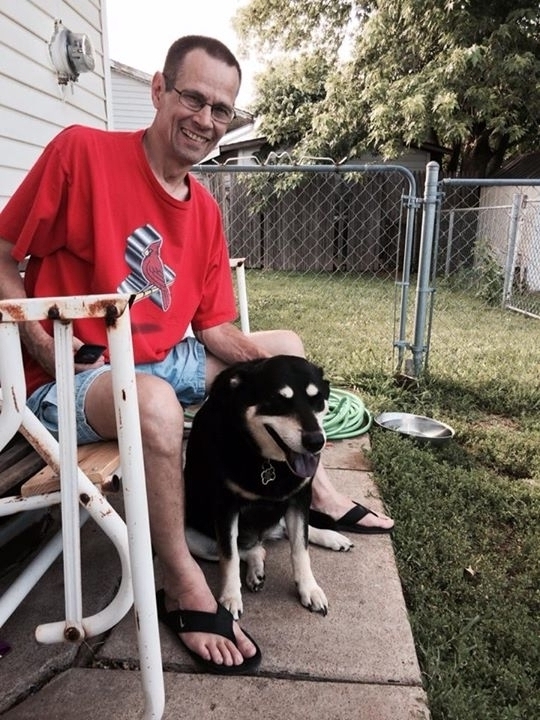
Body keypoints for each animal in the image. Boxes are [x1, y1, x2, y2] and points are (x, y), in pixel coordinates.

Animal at [184, 354, 352, 620]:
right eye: (277, 401)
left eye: (317, 399)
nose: (316, 442)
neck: (267, 460)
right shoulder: (225, 507)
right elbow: (229, 556)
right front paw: (230, 597)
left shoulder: (299, 498)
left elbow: (301, 548)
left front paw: (309, 589)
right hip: (191, 537)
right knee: (248, 549)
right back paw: (256, 568)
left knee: (288, 534)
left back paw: (331, 537)